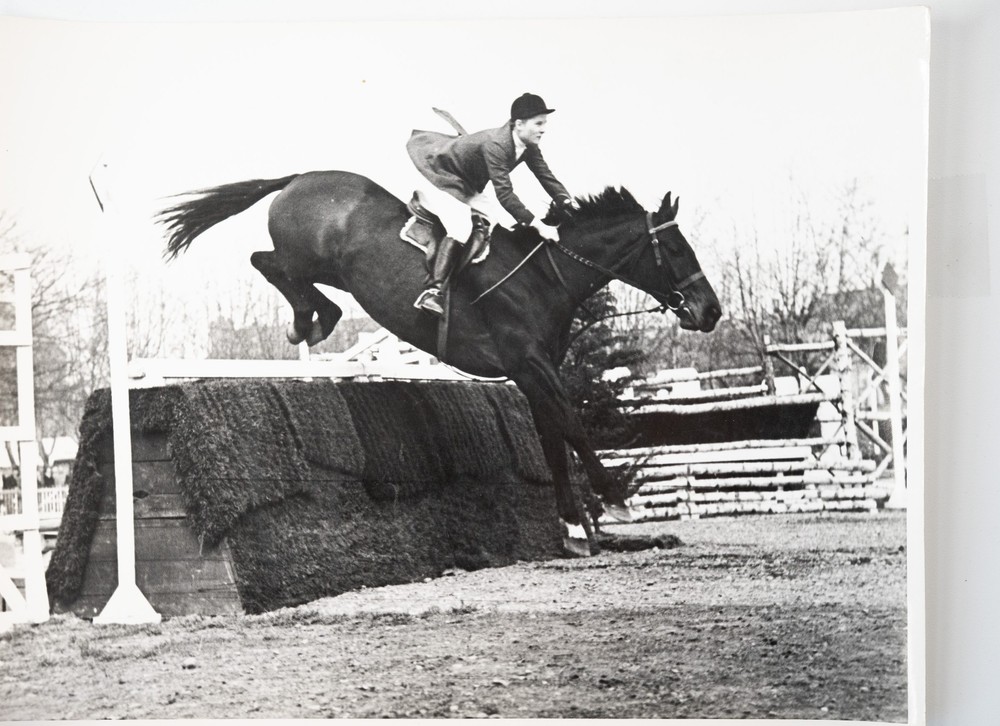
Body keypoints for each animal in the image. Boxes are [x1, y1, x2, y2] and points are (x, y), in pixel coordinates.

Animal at [157, 170, 721, 555]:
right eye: (675, 248)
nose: (710, 311)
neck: (542, 277)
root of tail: (300, 176)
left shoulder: (533, 374)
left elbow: (554, 440)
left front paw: (573, 528)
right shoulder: (531, 365)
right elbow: (574, 427)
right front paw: (616, 498)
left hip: (328, 269)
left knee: (295, 280)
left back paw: (313, 319)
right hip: (304, 257)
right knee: (267, 263)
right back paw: (306, 321)